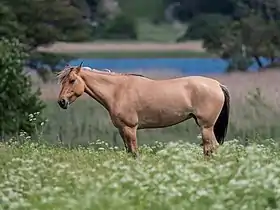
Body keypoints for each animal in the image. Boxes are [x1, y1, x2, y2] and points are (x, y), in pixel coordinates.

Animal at [56, 62, 230, 158]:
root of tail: (218, 85)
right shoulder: (122, 130)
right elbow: (129, 152)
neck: (118, 91)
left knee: (211, 148)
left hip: (206, 126)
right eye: (62, 81)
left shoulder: (130, 128)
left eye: (72, 80)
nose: (61, 102)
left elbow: (134, 152)